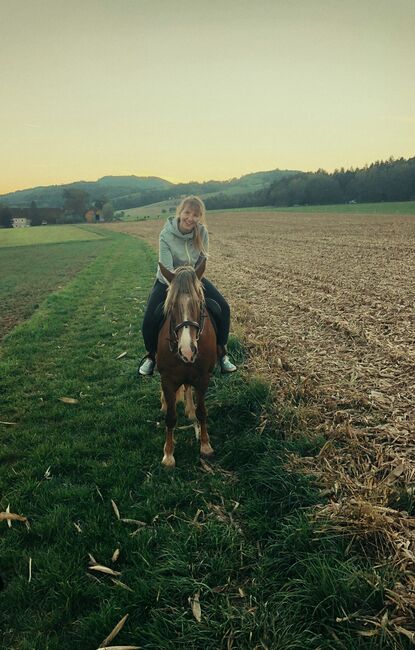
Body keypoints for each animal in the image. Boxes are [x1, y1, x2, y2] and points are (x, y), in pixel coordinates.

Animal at [156, 258, 218, 466]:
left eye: (199, 303)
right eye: (171, 305)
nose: (187, 350)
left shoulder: (203, 378)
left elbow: (202, 412)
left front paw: (206, 446)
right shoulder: (167, 380)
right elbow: (170, 418)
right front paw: (168, 454)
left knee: (187, 387)